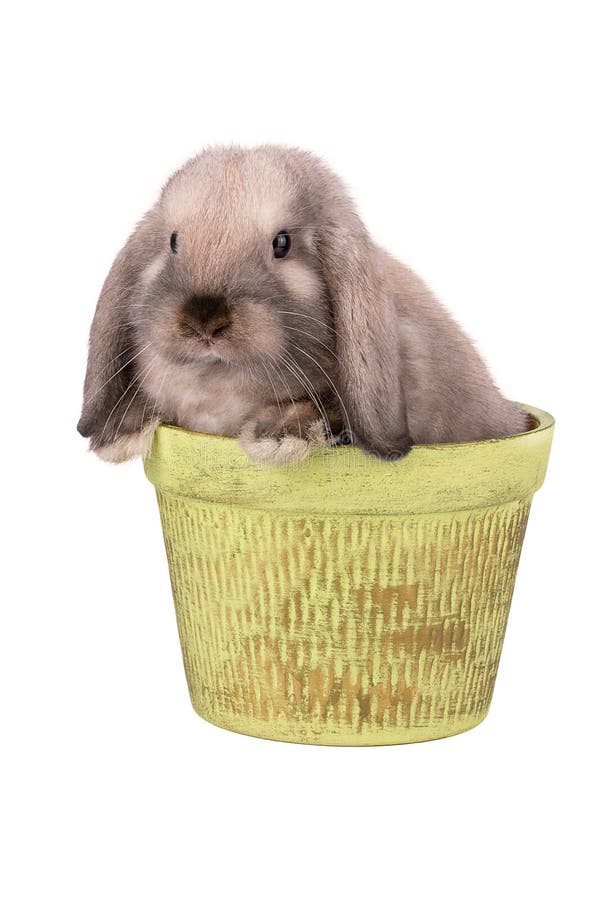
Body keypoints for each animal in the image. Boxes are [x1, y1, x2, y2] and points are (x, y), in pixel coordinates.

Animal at [77, 144, 531, 465]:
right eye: (173, 241)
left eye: (282, 243)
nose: (204, 320)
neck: (218, 381)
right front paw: (118, 432)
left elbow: (319, 406)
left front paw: (278, 437)